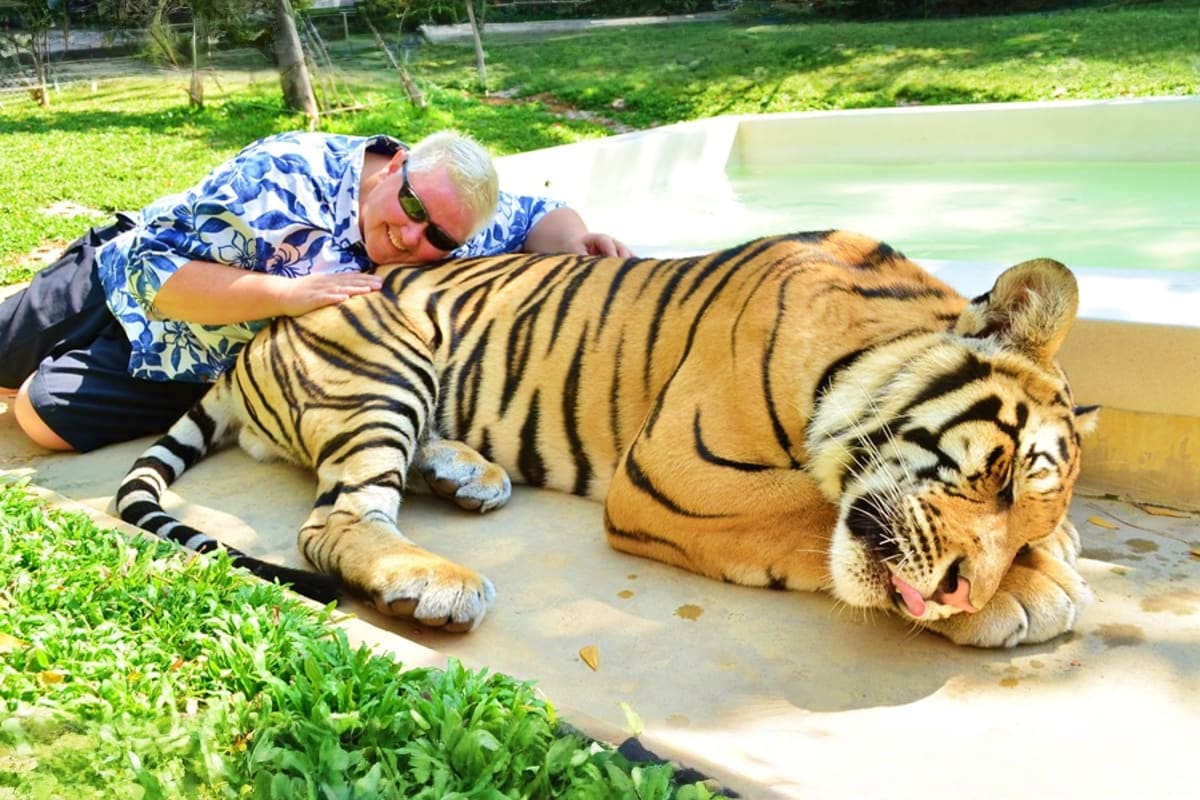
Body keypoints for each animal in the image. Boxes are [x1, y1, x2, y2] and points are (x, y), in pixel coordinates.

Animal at [115, 230, 1097, 648]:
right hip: (381, 368)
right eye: (1003, 478)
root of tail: (255, 340)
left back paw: (469, 474)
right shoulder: (677, 472)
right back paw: (433, 583)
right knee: (336, 518)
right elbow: (810, 510)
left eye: (1029, 509)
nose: (962, 593)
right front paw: (1031, 593)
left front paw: (1054, 561)